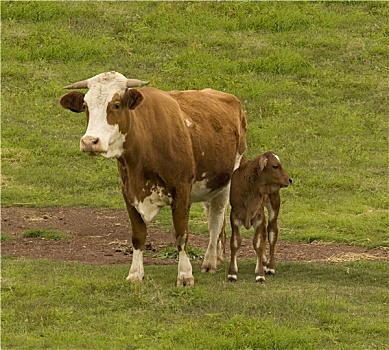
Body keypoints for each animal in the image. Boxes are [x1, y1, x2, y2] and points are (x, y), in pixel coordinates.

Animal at [58, 72, 246, 288]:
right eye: (86, 105)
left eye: (116, 104)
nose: (89, 141)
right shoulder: (128, 193)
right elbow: (138, 236)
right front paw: (135, 274)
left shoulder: (182, 191)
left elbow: (181, 234)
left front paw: (185, 274)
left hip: (228, 178)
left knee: (216, 219)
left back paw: (209, 262)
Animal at [227, 152, 292, 284]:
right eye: (275, 166)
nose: (289, 179)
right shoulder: (234, 216)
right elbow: (235, 242)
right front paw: (232, 273)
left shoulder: (258, 216)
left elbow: (258, 243)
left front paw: (260, 274)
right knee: (264, 233)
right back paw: (264, 261)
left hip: (274, 203)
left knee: (272, 232)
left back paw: (270, 267)